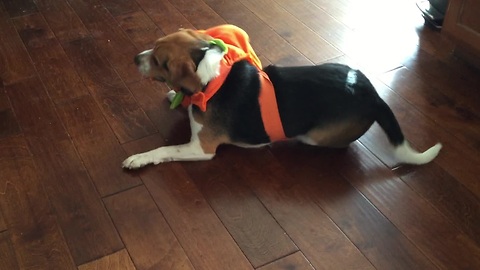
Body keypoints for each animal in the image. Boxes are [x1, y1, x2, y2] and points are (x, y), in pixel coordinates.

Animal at [122, 24, 440, 169]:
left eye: (160, 61)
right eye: (154, 46)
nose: (135, 58)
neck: (212, 80)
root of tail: (372, 93)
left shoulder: (201, 148)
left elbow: (164, 149)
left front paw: (139, 158)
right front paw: (176, 95)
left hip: (317, 135)